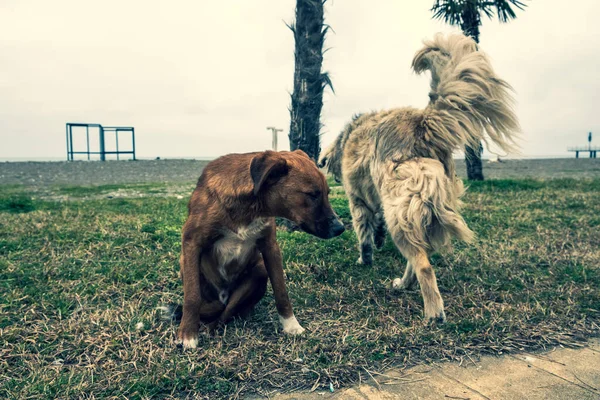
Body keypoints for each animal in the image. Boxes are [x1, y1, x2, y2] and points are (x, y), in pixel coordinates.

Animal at [175, 149, 342, 346]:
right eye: (313, 194)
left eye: (327, 193)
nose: (340, 228)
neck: (248, 207)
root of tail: (223, 297)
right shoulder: (191, 243)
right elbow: (192, 296)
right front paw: (187, 334)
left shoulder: (270, 248)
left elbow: (281, 291)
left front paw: (291, 325)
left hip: (259, 270)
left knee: (228, 312)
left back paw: (213, 327)